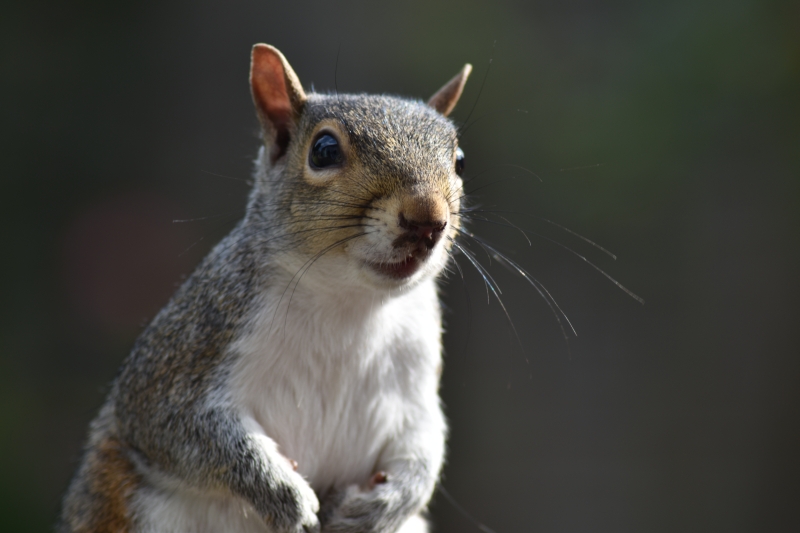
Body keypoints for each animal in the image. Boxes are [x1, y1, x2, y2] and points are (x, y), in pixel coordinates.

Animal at [61, 42, 476, 532]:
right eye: (324, 151)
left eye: (459, 160)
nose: (428, 219)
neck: (350, 303)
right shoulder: (189, 352)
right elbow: (181, 428)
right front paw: (282, 494)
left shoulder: (415, 379)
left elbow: (425, 442)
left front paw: (383, 504)